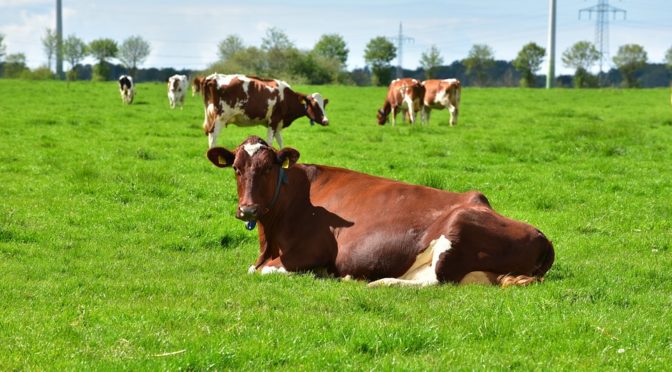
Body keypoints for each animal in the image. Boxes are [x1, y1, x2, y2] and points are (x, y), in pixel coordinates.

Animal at [207, 136, 552, 288]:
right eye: (237, 168)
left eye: (268, 168)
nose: (247, 208)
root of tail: (543, 238)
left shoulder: (311, 253)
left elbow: (262, 271)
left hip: (457, 228)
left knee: (436, 282)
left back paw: (380, 282)